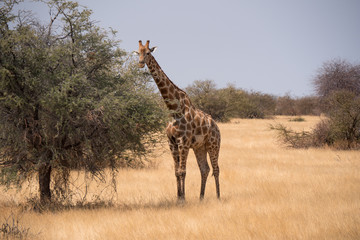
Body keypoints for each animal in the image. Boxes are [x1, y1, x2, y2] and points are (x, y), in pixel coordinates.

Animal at [134, 40, 221, 200]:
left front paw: (183, 198)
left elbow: (182, 171)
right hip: (200, 147)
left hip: (213, 144)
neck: (173, 109)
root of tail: (217, 127)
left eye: (148, 53)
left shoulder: (183, 142)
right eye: (138, 53)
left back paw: (218, 197)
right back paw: (201, 197)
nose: (141, 63)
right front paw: (178, 198)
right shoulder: (172, 142)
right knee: (205, 169)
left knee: (216, 168)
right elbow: (176, 172)